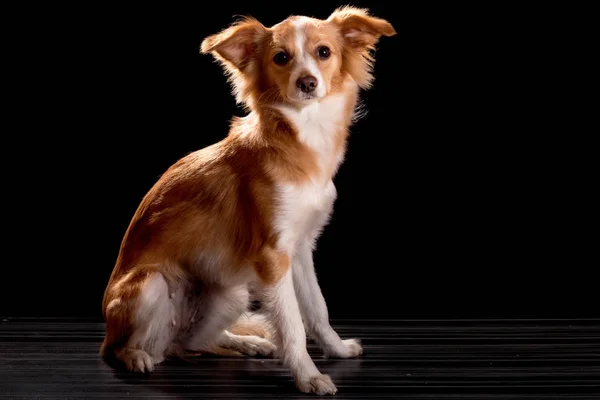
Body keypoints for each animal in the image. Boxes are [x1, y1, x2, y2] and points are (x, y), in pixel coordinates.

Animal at [101, 7, 396, 396]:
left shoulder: (300, 250)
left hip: (233, 294)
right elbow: (292, 323)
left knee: (190, 343)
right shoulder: (272, 258)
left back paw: (248, 343)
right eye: (281, 58)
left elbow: (317, 307)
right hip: (151, 286)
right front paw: (308, 375)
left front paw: (336, 348)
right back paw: (135, 356)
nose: (307, 82)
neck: (302, 134)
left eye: (324, 52)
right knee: (120, 348)